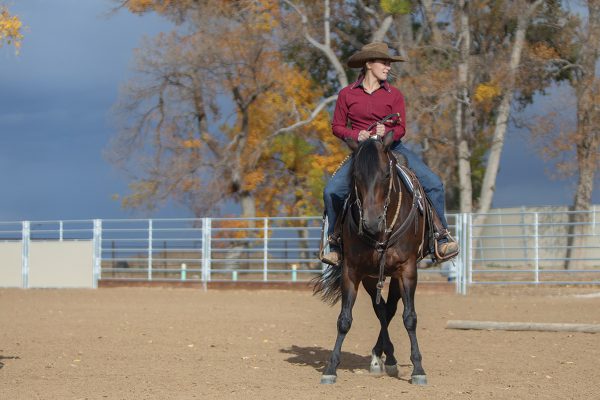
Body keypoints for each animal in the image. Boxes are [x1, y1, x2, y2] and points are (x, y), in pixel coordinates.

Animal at [312, 130, 428, 384]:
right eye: (356, 175)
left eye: (386, 175)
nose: (372, 222)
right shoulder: (352, 271)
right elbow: (344, 320)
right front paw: (330, 368)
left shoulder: (407, 270)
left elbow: (410, 317)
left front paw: (418, 369)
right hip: (371, 277)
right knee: (382, 310)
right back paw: (382, 358)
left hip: (394, 275)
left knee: (390, 309)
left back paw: (388, 358)